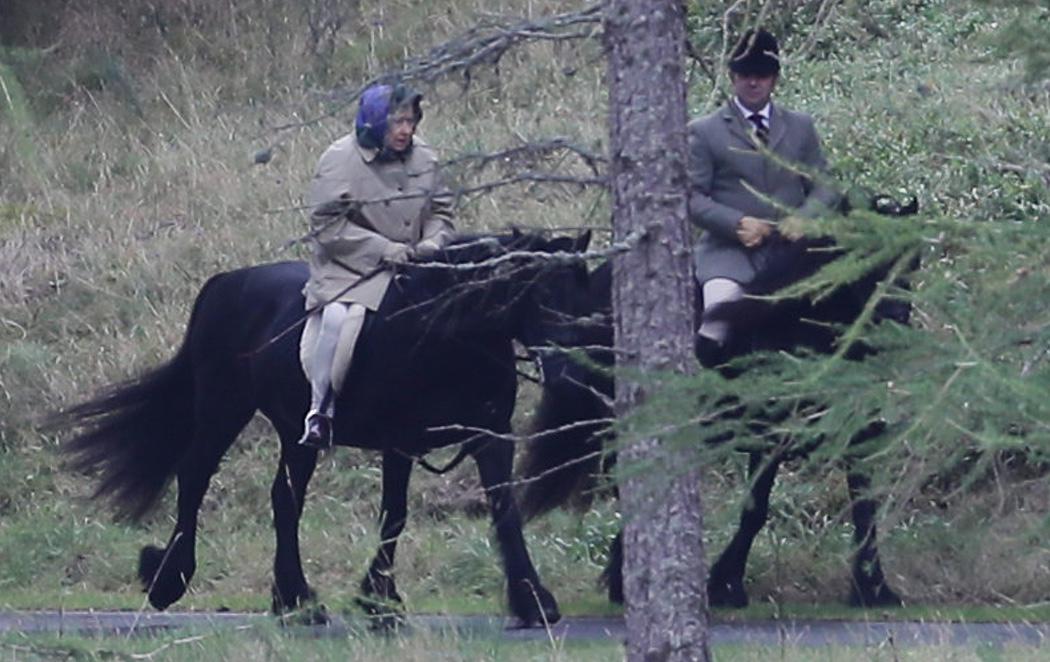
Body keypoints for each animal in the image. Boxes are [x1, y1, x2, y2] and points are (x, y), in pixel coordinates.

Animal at [53, 231, 592, 630]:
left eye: (582, 290)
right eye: (541, 293)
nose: (571, 370)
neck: (446, 333)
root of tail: (226, 282)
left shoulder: (489, 437)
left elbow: (504, 510)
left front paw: (532, 601)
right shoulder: (399, 441)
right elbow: (395, 514)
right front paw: (381, 601)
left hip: (295, 432)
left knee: (284, 499)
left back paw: (295, 601)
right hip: (224, 408)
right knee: (195, 476)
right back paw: (172, 580)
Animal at [520, 198, 915, 613]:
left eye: (913, 261)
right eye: (864, 258)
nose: (896, 315)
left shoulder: (857, 429)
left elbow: (864, 504)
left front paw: (873, 588)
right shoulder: (768, 434)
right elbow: (755, 510)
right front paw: (725, 585)